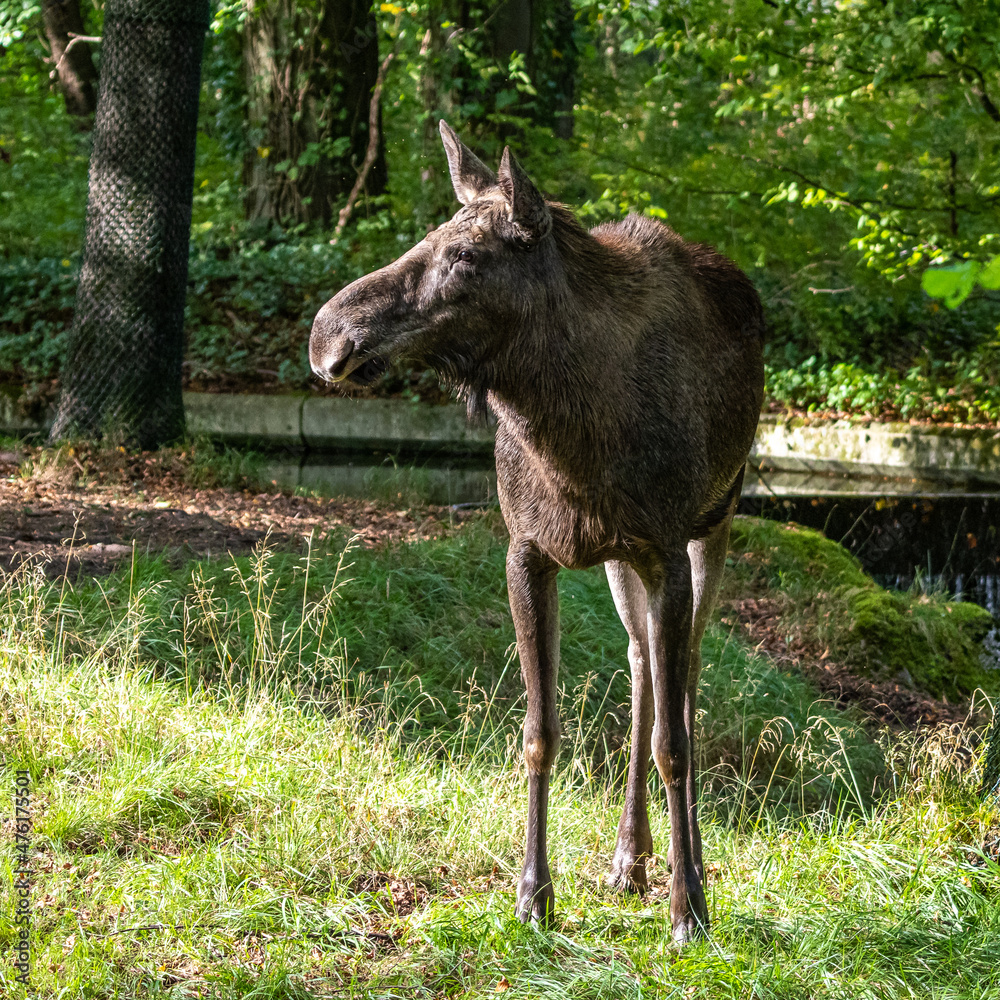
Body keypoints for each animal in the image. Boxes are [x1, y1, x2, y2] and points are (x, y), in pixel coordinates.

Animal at [309, 122, 765, 943]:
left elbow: (675, 743)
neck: (574, 441)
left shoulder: (667, 547)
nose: (326, 337)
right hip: (623, 562)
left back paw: (682, 866)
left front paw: (689, 907)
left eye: (464, 256)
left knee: (683, 679)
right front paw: (534, 895)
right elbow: (539, 732)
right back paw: (629, 860)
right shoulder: (527, 550)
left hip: (716, 521)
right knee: (641, 661)